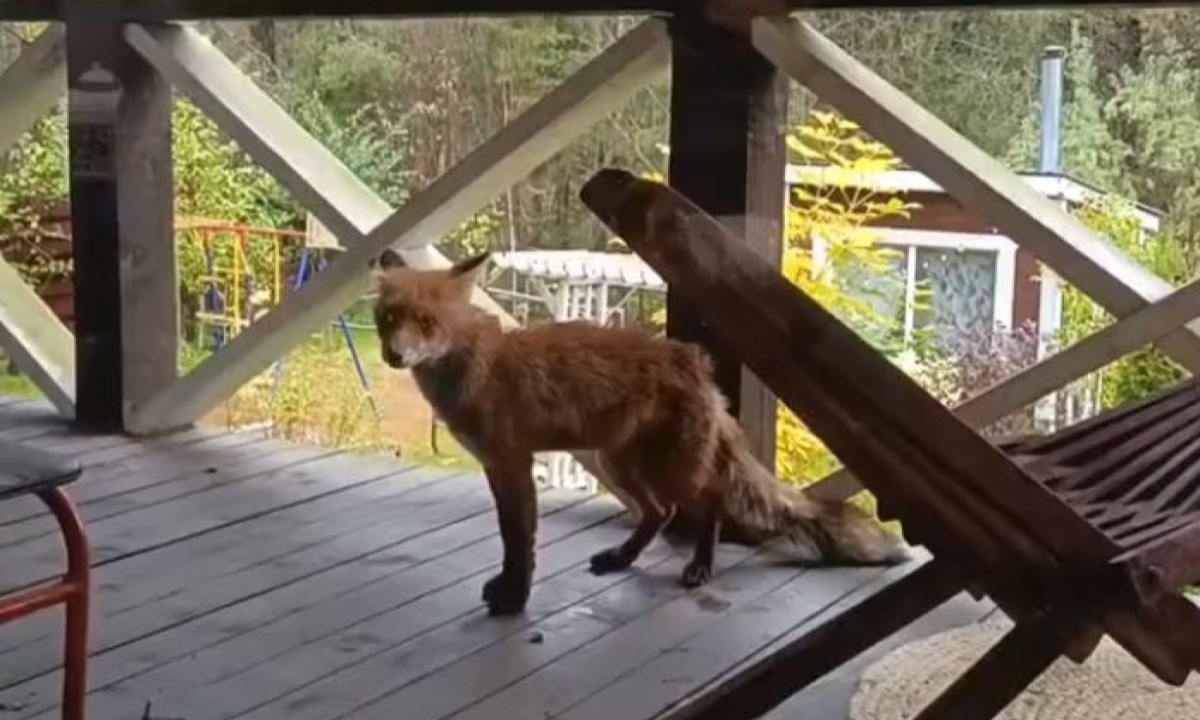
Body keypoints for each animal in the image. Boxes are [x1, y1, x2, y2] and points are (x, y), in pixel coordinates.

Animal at [371, 248, 909, 615]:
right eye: (390, 318)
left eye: (427, 322)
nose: (394, 355)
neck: (477, 364)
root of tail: (697, 364)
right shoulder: (496, 467)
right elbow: (510, 537)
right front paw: (508, 589)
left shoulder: (513, 463)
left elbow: (520, 541)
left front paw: (515, 598)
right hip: (621, 464)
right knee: (659, 512)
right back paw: (623, 558)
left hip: (670, 470)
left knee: (710, 501)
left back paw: (700, 567)